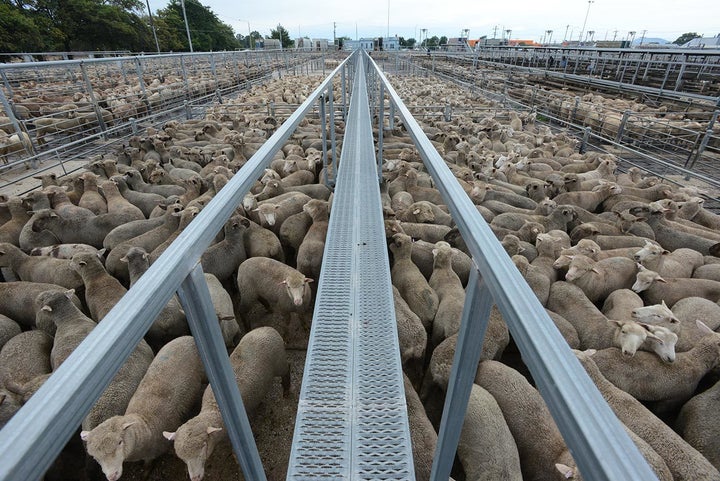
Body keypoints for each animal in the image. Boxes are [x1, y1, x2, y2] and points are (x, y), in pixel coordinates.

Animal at [83, 334, 210, 480]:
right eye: (95, 457)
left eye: (120, 442)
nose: (112, 476)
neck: (144, 423)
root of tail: (187, 337)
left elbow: (148, 465)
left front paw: (145, 473)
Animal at [165, 326, 288, 480]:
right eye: (182, 457)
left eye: (204, 446)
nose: (195, 478)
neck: (215, 408)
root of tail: (267, 328)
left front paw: (236, 457)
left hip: (280, 362)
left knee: (288, 369)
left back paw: (287, 391)